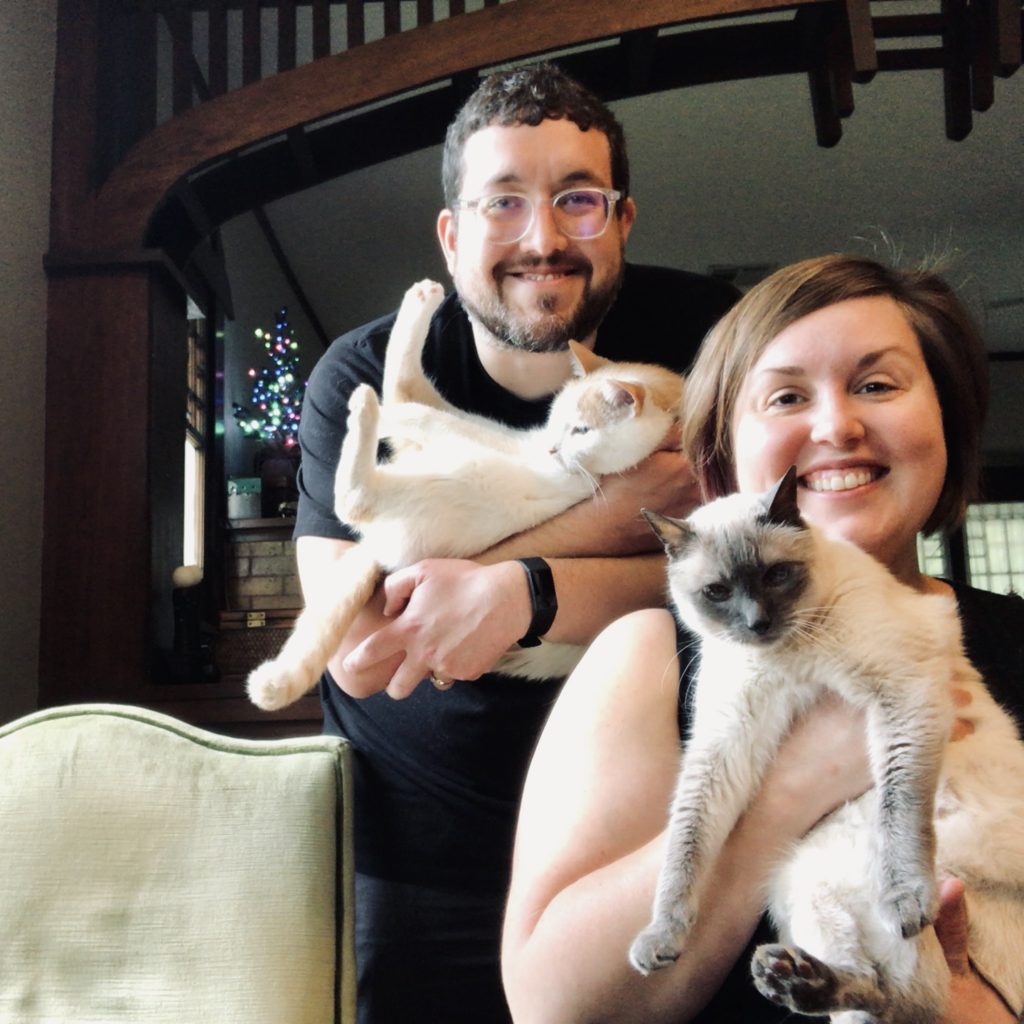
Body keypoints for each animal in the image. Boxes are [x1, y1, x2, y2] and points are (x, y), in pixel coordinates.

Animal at [243, 280, 684, 712]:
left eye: (582, 431)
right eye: (556, 418)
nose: (550, 448)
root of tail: (381, 549)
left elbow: (416, 412)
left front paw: (390, 414)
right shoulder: (511, 438)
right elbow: (420, 403)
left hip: (461, 478)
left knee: (361, 487)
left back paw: (367, 407)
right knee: (405, 387)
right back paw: (419, 303)